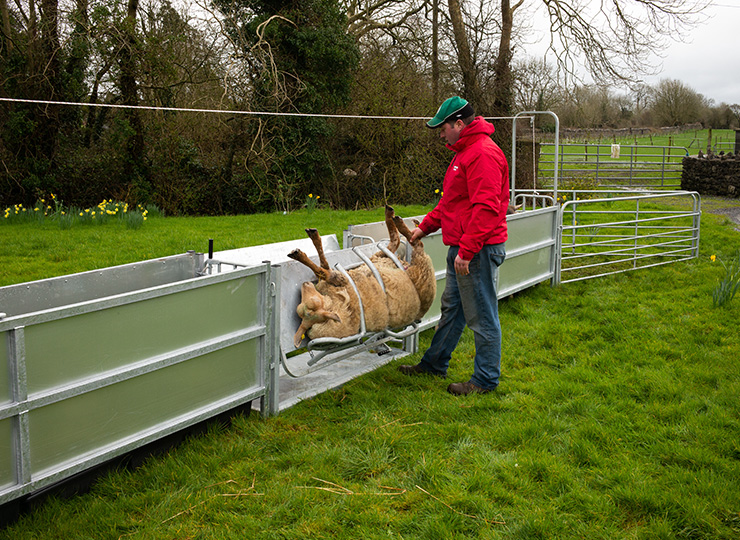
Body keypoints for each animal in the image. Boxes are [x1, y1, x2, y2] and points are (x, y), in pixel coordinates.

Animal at [288, 205, 436, 348]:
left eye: (311, 306)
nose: (305, 284)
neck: (331, 303)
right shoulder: (339, 280)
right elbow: (322, 270)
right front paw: (300, 254)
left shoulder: (339, 279)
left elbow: (322, 269)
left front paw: (301, 253)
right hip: (413, 267)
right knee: (409, 242)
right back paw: (395, 218)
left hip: (398, 263)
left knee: (404, 241)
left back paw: (392, 217)